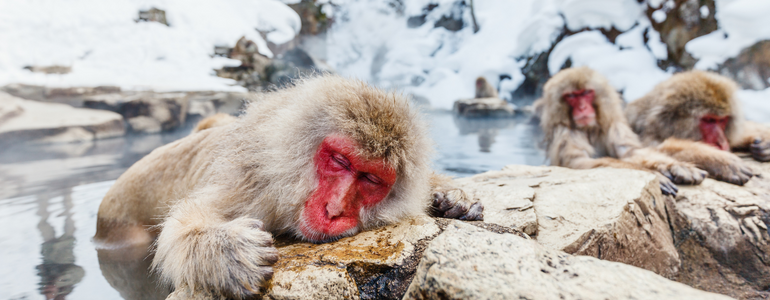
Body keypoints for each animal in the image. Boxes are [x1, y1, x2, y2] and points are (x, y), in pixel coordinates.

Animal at [93, 74, 480, 298]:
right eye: (340, 161)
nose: (335, 209)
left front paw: (453, 196)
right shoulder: (252, 185)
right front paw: (226, 251)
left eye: (370, 179)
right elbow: (183, 226)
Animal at [532, 66, 704, 195]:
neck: (589, 129)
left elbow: (629, 152)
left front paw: (675, 166)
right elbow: (577, 161)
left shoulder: (613, 125)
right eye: (571, 96)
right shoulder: (565, 132)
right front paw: (654, 174)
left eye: (586, 93)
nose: (582, 108)